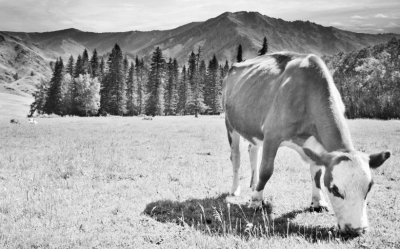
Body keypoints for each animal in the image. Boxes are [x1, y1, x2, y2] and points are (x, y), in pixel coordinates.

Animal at [223, 52, 392, 235]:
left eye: (369, 187)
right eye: (334, 189)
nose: (357, 229)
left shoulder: (318, 146)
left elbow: (317, 173)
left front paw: (318, 202)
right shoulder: (271, 134)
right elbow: (266, 170)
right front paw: (255, 202)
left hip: (252, 129)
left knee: (252, 151)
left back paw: (253, 185)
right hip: (230, 123)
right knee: (236, 158)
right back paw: (236, 190)